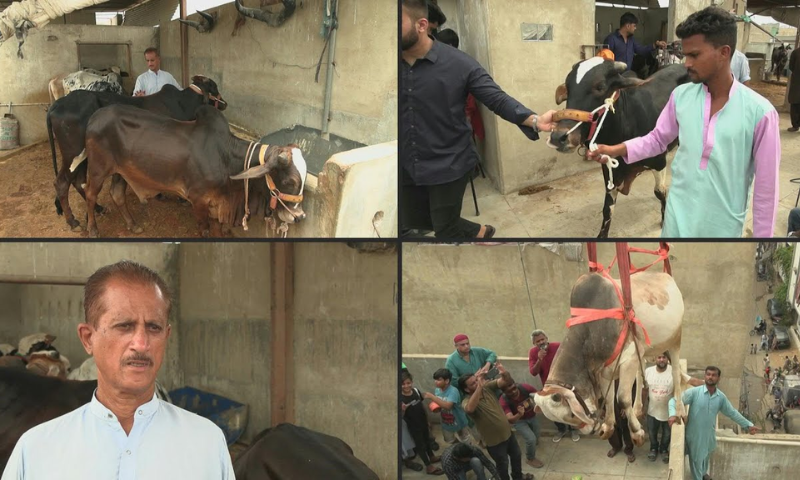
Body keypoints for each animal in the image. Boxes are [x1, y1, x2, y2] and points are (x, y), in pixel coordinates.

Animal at [48, 74, 227, 231]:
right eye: (215, 86)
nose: (224, 103)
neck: (182, 104)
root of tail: (57, 104)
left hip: (83, 159)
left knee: (79, 182)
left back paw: (98, 209)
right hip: (72, 155)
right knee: (62, 183)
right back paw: (73, 221)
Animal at [532, 272, 688, 444]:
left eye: (571, 414)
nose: (589, 429)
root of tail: (665, 275)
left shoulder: (629, 358)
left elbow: (622, 399)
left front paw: (636, 432)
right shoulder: (605, 368)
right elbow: (609, 398)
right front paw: (608, 426)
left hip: (675, 339)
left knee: (675, 372)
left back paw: (679, 410)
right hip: (643, 351)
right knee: (640, 374)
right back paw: (637, 408)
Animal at [548, 60, 692, 238]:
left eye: (600, 86)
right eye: (568, 87)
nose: (558, 137)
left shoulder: (659, 161)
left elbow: (660, 191)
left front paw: (665, 220)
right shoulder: (609, 168)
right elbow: (608, 207)